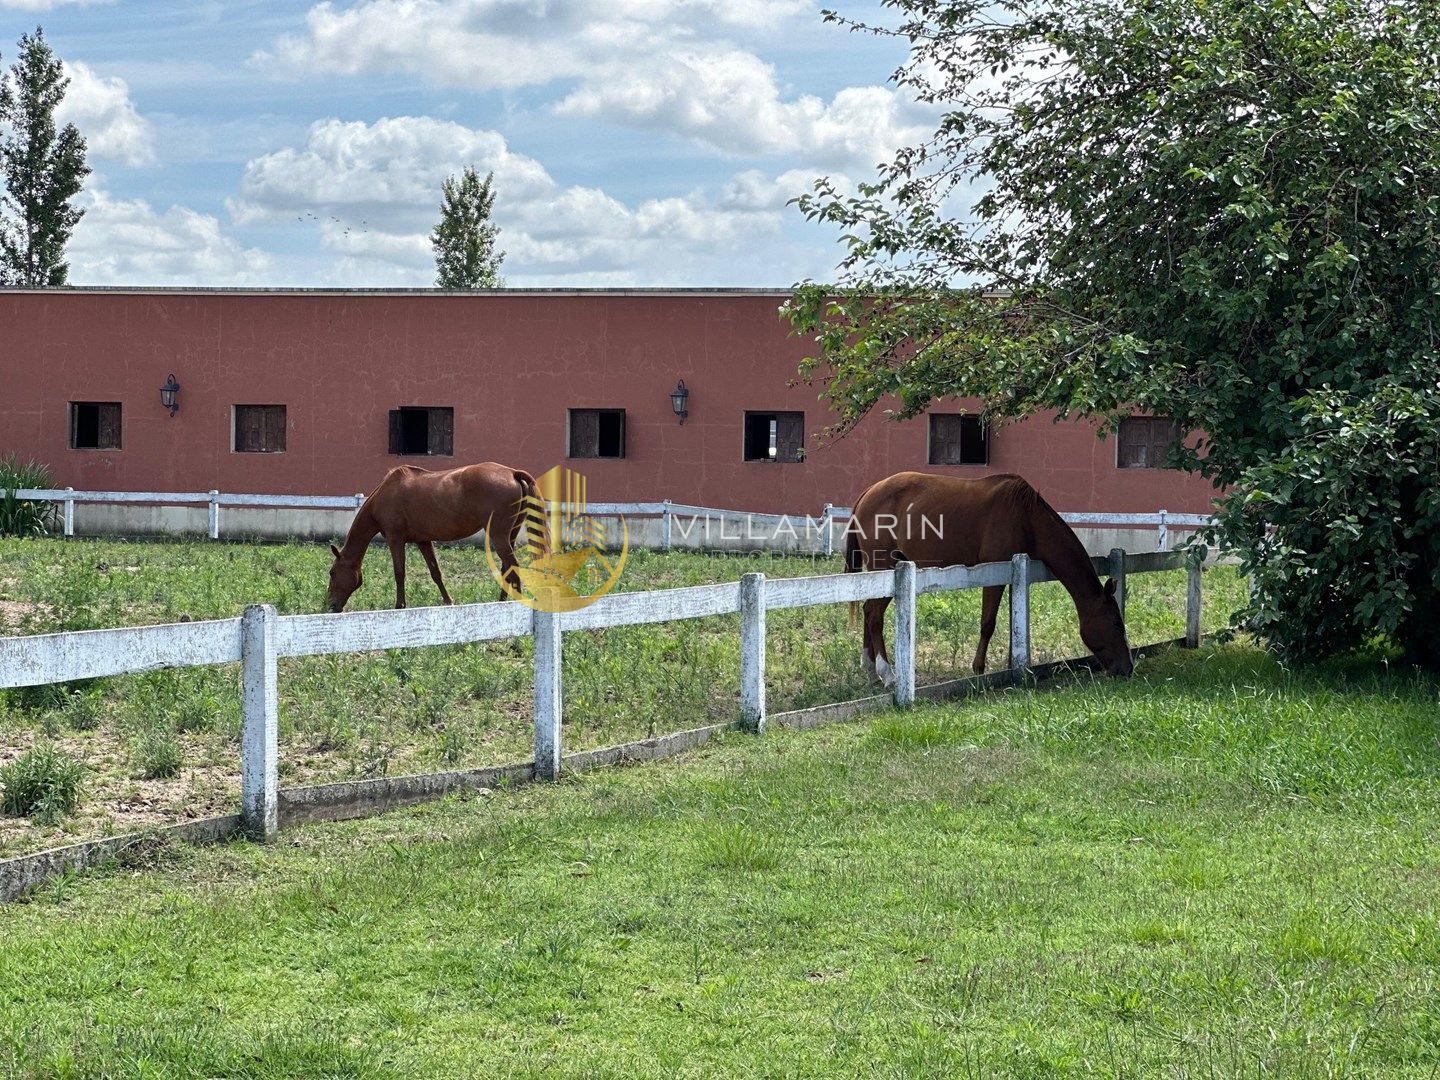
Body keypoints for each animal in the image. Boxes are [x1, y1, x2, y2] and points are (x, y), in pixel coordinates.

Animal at [326, 463, 539, 613]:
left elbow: (399, 573)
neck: (386, 494)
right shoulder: (423, 541)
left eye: (332, 573)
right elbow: (435, 572)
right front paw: (448, 601)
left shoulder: (395, 540)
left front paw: (399, 605)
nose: (330, 605)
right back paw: (501, 601)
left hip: (498, 535)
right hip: (509, 535)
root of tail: (511, 472)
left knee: (513, 565)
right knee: (507, 566)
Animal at [844, 471, 1133, 686]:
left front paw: (1012, 664)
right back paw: (887, 674)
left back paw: (870, 668)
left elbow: (1014, 621)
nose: (1127, 668)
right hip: (886, 566)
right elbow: (988, 624)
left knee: (869, 611)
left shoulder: (1014, 572)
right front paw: (979, 668)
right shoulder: (993, 576)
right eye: (1116, 624)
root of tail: (868, 493)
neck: (1026, 516)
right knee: (874, 615)